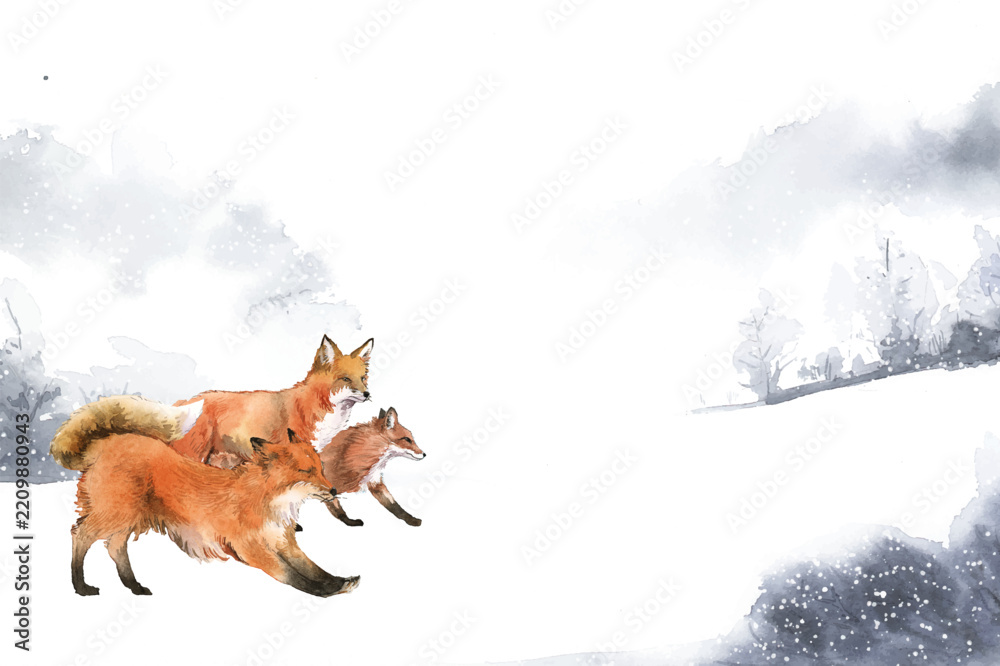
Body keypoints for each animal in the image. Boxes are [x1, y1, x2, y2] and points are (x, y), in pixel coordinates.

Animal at [51, 397, 358, 597]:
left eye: (320, 469)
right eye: (305, 472)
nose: (334, 491)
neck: (268, 502)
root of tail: (109, 441)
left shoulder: (284, 543)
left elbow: (316, 569)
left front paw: (339, 582)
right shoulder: (251, 549)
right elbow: (295, 577)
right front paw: (324, 592)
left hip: (128, 519)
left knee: (115, 548)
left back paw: (134, 586)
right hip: (117, 515)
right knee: (79, 534)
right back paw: (80, 586)